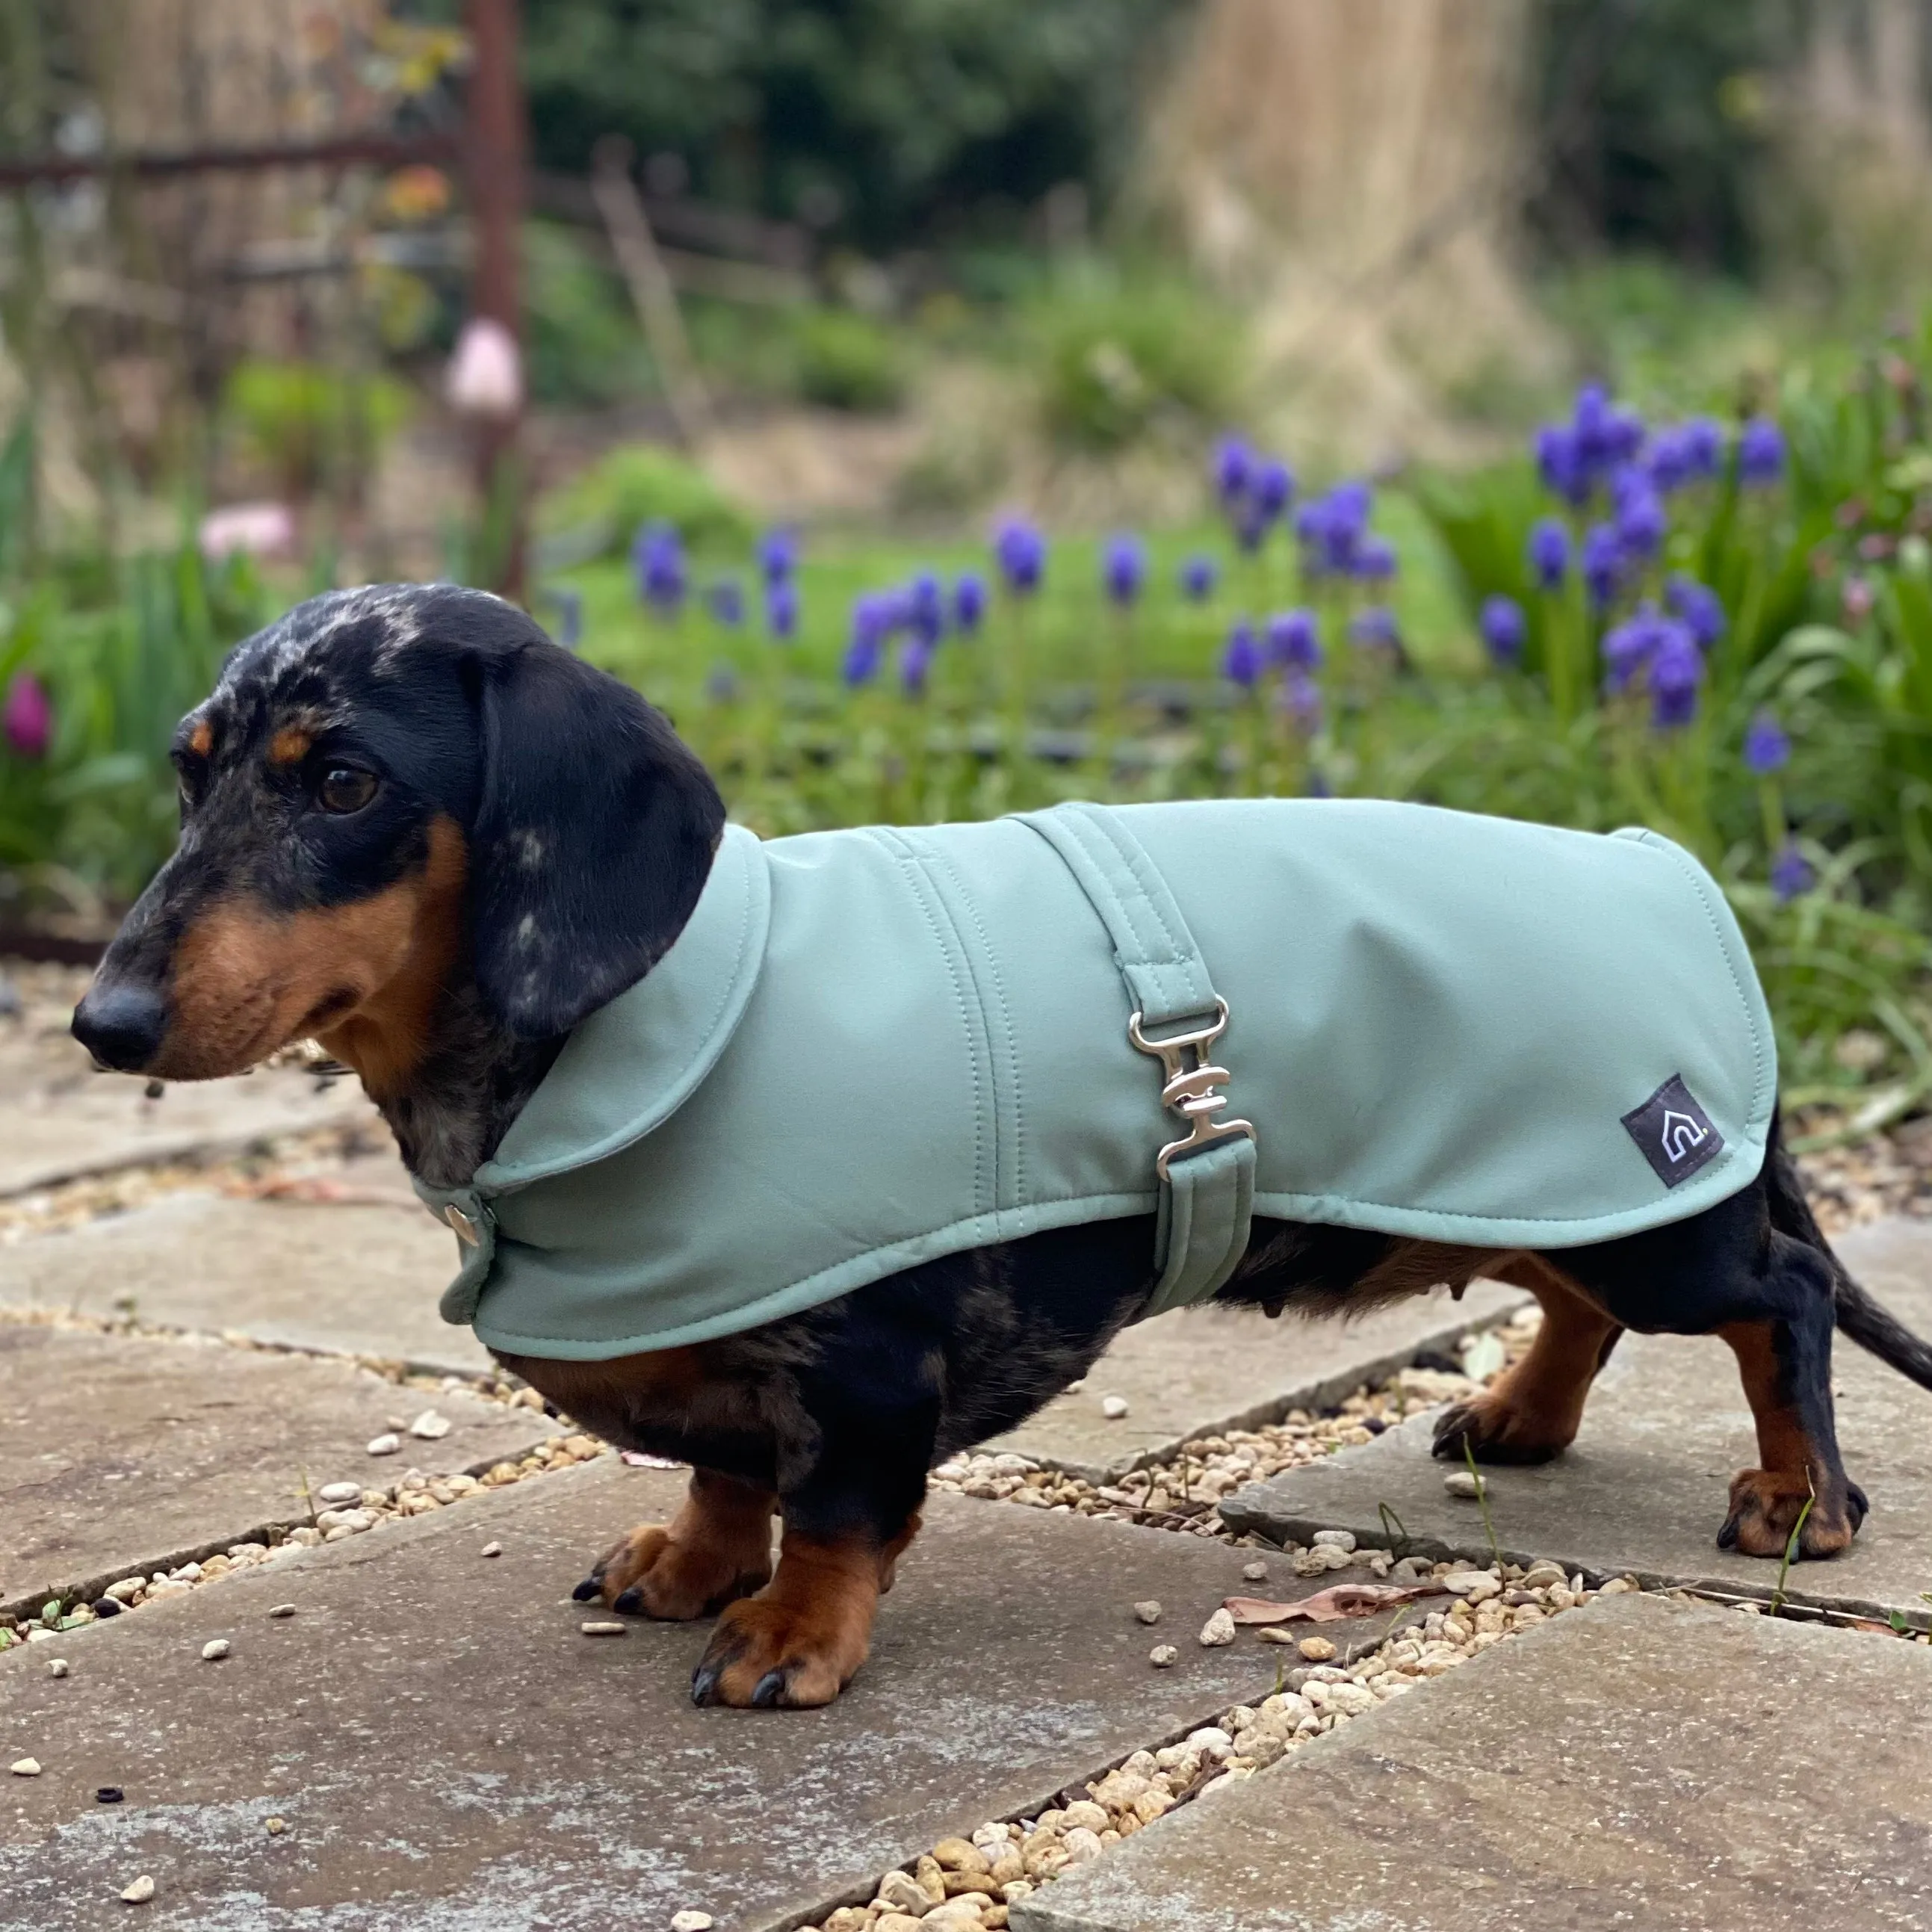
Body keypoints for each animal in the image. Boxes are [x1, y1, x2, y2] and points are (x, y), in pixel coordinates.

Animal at [68, 583, 1932, 1708]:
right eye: (191, 774)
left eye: (340, 783)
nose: (103, 1023)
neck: (643, 1026)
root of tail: (1659, 864)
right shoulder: (730, 1339)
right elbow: (724, 1464)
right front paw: (692, 1564)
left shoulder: (863, 1355)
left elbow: (833, 1504)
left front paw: (786, 1636)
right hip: (1551, 1186)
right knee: (1586, 1299)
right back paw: (1525, 1419)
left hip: (1655, 1205)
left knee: (1777, 1296)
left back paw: (1797, 1496)